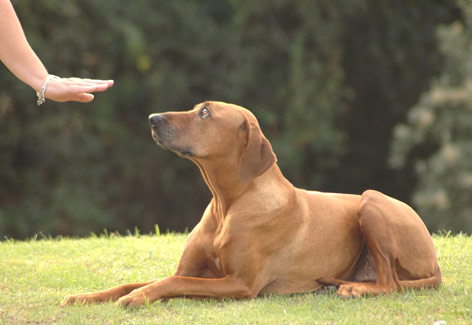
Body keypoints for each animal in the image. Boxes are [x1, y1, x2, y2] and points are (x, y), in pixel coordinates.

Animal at [60, 100, 440, 306]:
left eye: (205, 113)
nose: (153, 118)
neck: (226, 204)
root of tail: (434, 260)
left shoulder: (239, 283)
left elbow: (170, 284)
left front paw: (138, 298)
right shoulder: (190, 269)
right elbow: (134, 282)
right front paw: (83, 297)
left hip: (371, 201)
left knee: (391, 284)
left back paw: (355, 289)